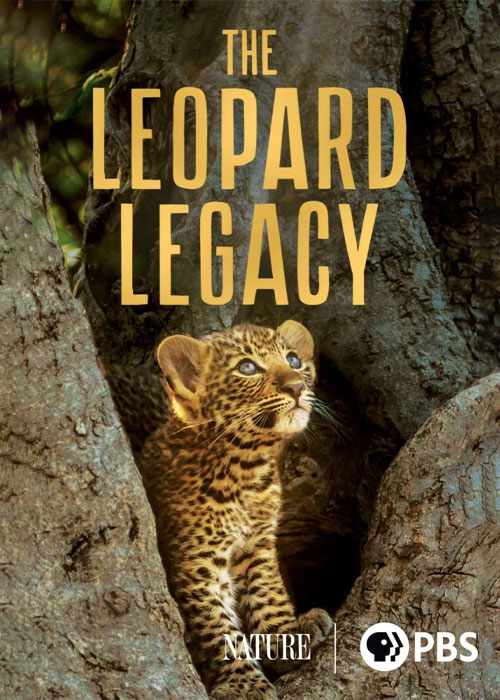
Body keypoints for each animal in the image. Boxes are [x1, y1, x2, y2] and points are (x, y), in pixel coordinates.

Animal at [137, 320, 333, 700]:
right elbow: (217, 627)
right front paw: (245, 682)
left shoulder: (257, 544)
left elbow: (268, 591)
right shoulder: (195, 563)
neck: (246, 469)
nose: (296, 385)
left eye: (294, 360)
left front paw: (286, 637)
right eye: (247, 368)